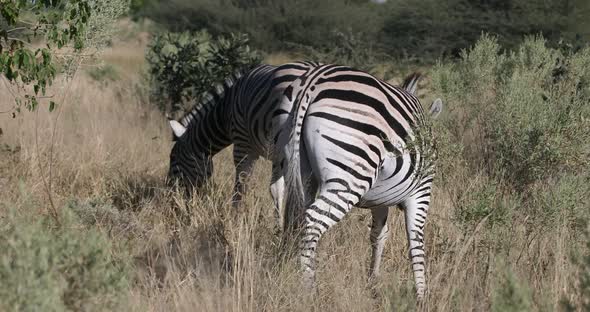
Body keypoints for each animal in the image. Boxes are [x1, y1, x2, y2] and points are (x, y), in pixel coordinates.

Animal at [169, 60, 320, 214]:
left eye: (172, 158)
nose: (172, 201)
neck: (225, 111)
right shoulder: (276, 156)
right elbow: (276, 190)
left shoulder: (242, 144)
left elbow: (241, 185)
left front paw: (235, 215)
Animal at [272, 64, 444, 300]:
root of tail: (312, 83)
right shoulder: (422, 190)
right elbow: (416, 240)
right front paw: (421, 295)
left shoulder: (380, 199)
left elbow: (379, 235)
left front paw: (373, 282)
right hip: (350, 176)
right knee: (312, 222)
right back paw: (310, 291)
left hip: (297, 166)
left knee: (295, 219)